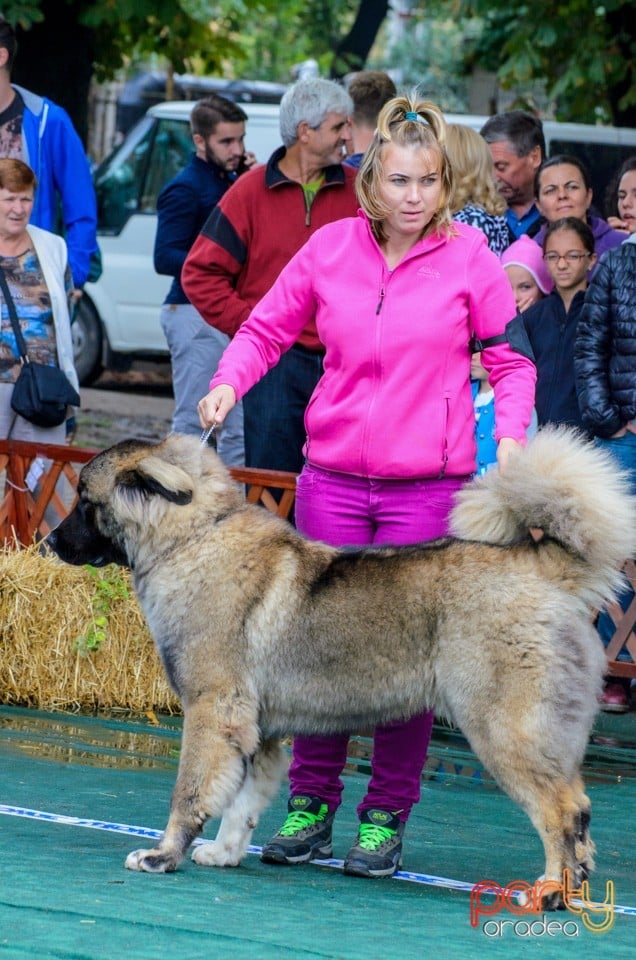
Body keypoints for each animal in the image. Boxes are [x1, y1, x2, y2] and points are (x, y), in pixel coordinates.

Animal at [48, 428, 636, 900]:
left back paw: (550, 891)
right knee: (579, 804)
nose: (50, 540)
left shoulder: (211, 712)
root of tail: (542, 568)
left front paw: (162, 855)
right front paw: (225, 852)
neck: (193, 537)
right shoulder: (257, 730)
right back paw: (576, 882)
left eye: (85, 501)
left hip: (502, 729)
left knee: (559, 810)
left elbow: (190, 793)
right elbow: (242, 803)